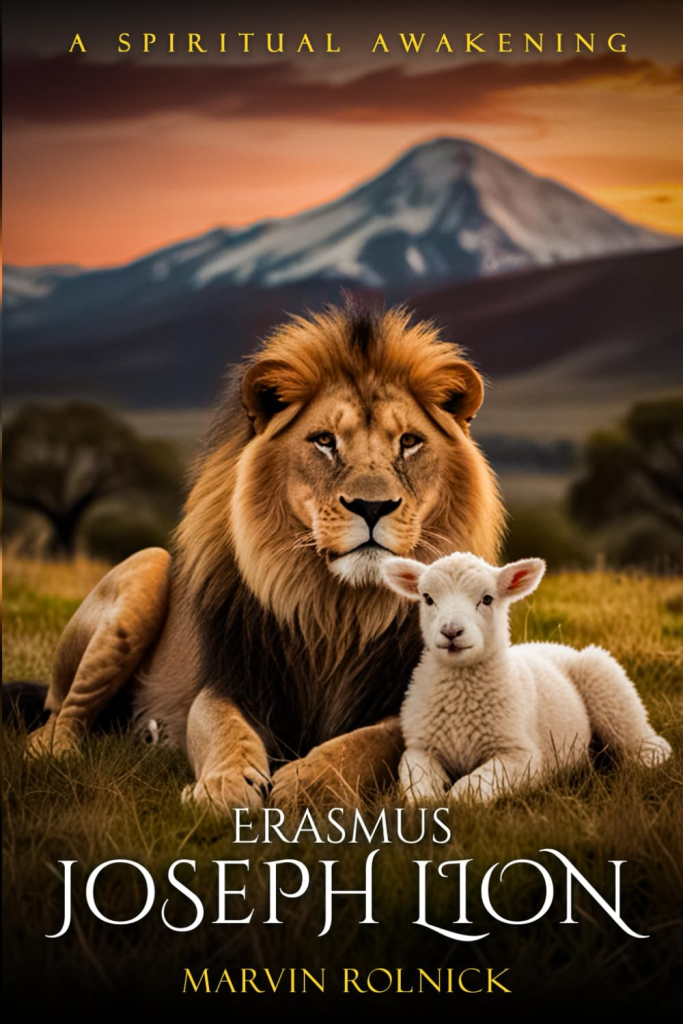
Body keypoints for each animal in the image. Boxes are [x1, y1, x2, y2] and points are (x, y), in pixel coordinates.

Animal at [21, 302, 506, 811]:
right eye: (325, 441)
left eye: (409, 442)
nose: (372, 507)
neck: (338, 611)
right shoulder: (232, 682)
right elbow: (223, 730)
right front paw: (224, 786)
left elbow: (369, 741)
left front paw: (308, 781)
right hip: (147, 568)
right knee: (61, 716)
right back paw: (58, 753)